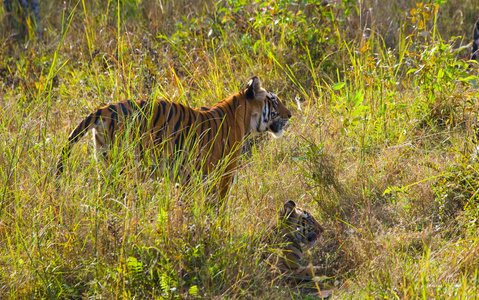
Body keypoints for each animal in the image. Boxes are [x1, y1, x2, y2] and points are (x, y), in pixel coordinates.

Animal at [56, 75, 292, 202]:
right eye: (274, 100)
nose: (290, 114)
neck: (242, 118)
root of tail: (104, 109)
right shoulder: (223, 177)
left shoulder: (186, 179)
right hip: (125, 168)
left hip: (105, 166)